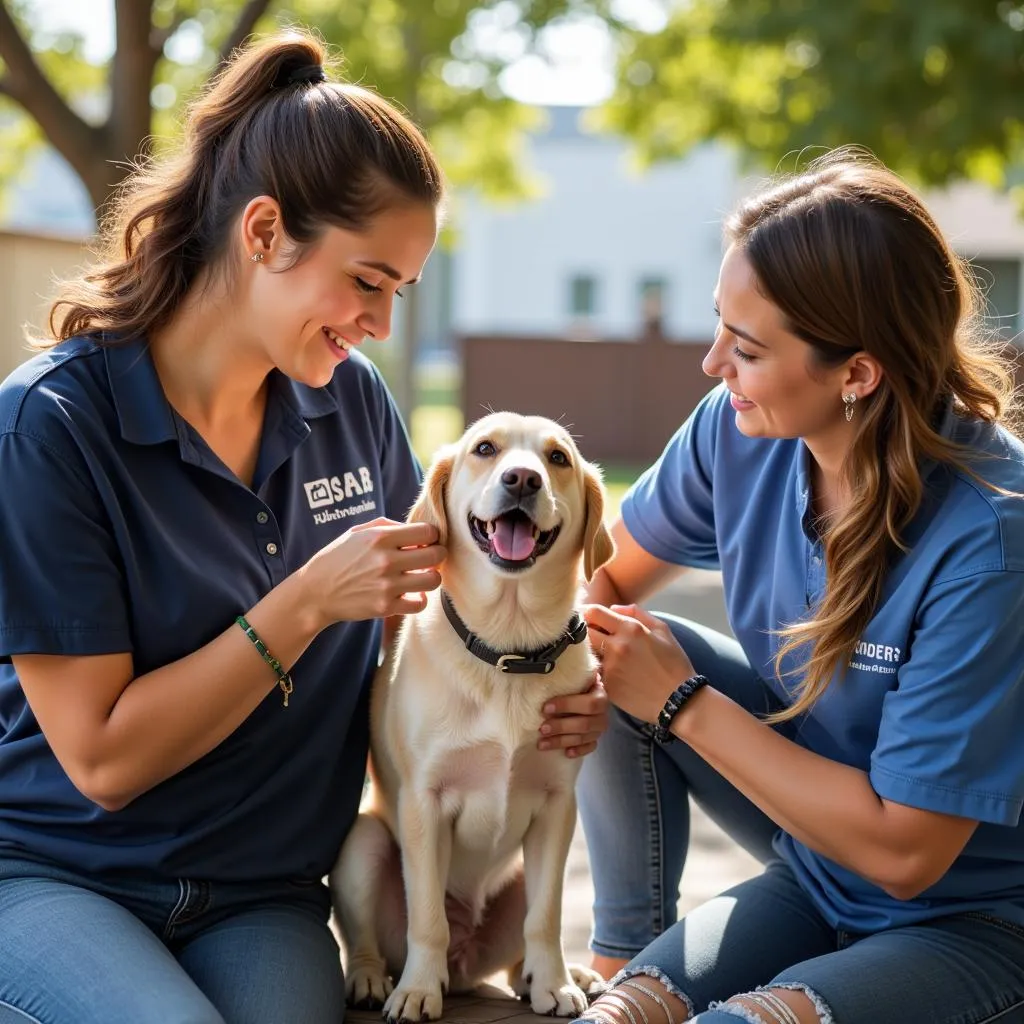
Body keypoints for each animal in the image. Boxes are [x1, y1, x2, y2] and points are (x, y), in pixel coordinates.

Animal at [331, 413, 610, 1024]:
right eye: (485, 448)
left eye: (557, 458)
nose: (523, 479)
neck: (509, 648)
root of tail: (466, 963)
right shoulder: (423, 802)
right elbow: (426, 918)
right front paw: (417, 990)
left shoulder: (557, 806)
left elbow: (546, 917)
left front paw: (555, 984)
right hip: (364, 843)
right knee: (370, 941)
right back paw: (372, 978)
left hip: (522, 873)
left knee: (523, 945)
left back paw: (553, 975)